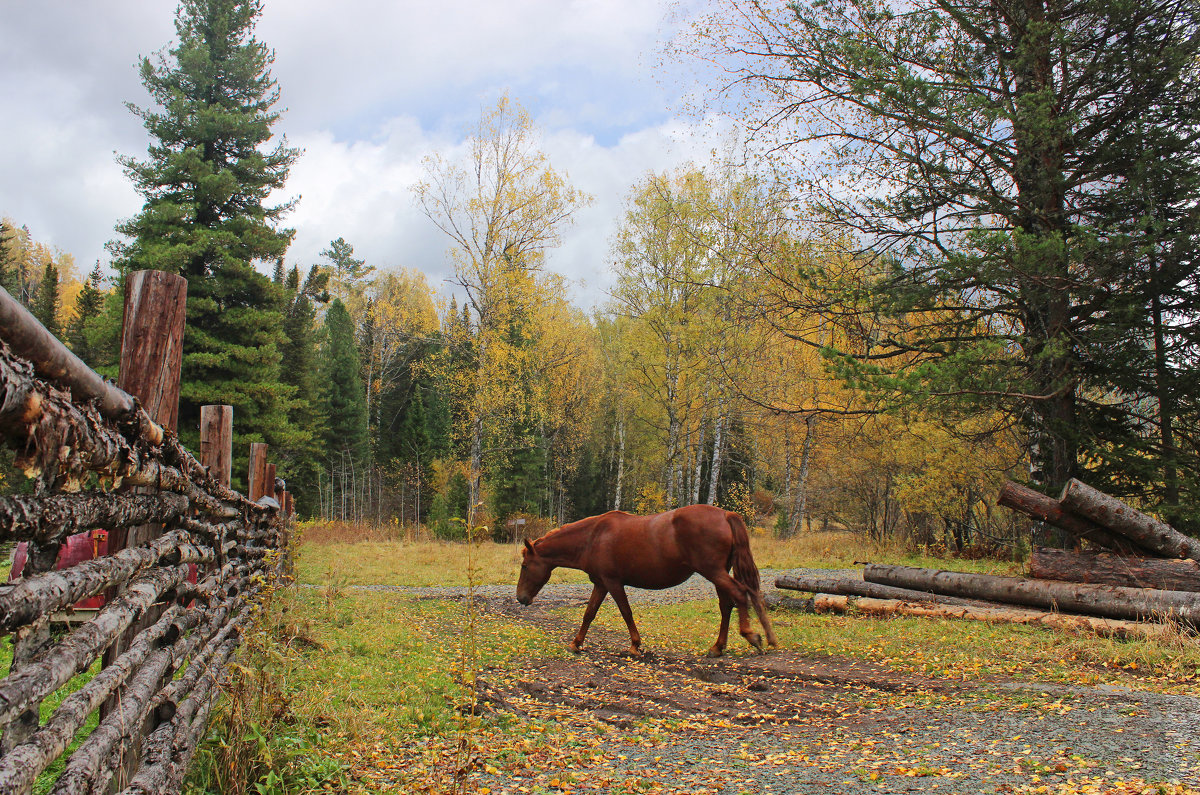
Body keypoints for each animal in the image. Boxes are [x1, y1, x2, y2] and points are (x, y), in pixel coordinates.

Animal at [513, 504, 777, 658]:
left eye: (525, 566)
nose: (521, 598)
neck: (593, 537)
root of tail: (725, 514)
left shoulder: (613, 582)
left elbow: (625, 612)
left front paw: (635, 645)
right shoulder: (601, 583)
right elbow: (589, 613)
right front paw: (576, 643)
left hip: (714, 571)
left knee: (740, 594)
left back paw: (751, 635)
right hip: (718, 572)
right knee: (726, 604)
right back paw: (718, 647)